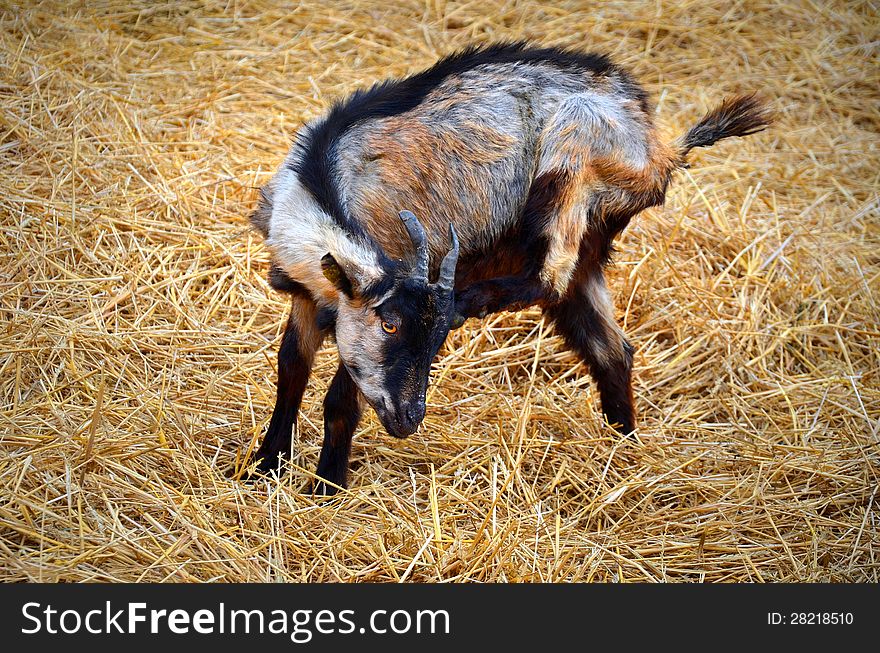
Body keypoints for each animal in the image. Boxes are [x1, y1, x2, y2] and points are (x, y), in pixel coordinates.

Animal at [248, 42, 768, 494]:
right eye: (391, 324)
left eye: (435, 339)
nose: (410, 419)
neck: (322, 186)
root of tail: (660, 149)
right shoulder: (309, 294)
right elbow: (290, 369)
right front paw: (265, 465)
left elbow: (339, 399)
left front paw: (326, 487)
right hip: (590, 251)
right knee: (611, 349)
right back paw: (622, 450)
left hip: (572, 159)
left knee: (552, 276)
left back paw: (474, 299)